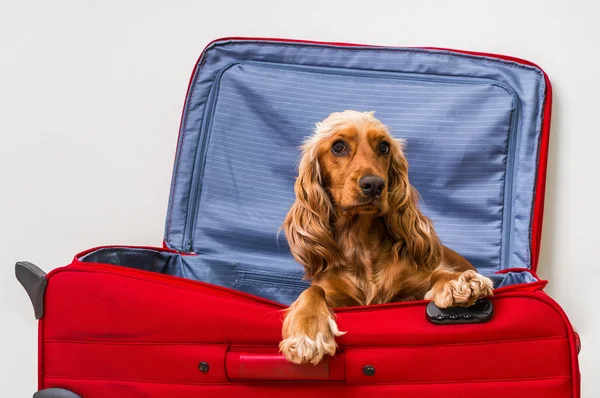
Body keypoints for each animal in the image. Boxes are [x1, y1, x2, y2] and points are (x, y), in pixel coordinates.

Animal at [276, 110, 492, 366]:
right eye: (338, 147)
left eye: (384, 147)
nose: (374, 184)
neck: (360, 241)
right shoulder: (333, 292)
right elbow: (313, 292)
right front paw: (308, 332)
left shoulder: (412, 287)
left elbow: (436, 274)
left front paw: (458, 281)